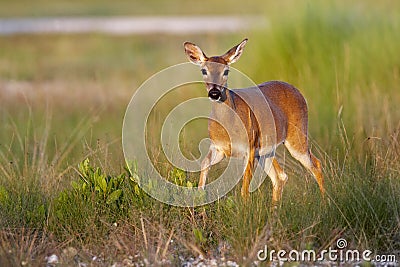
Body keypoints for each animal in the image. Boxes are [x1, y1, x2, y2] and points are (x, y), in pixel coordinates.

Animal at [184, 38, 324, 203]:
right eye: (204, 70)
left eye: (226, 71)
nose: (214, 93)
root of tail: (298, 91)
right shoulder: (219, 148)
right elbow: (204, 163)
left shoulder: (249, 147)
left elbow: (244, 189)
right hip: (266, 150)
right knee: (280, 176)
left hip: (297, 136)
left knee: (316, 165)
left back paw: (325, 202)